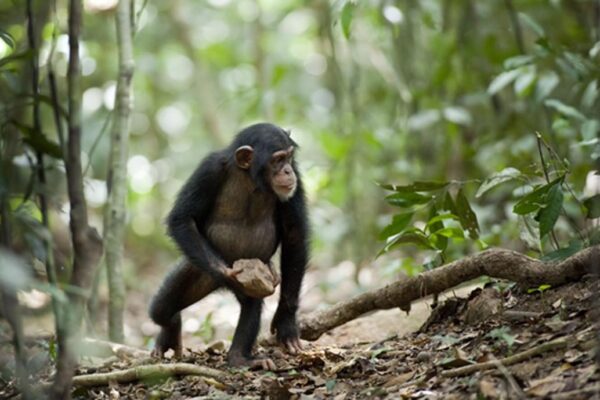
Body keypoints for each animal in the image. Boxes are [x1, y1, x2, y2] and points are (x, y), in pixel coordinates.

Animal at [149, 122, 310, 368]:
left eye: (289, 158)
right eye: (277, 160)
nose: (287, 171)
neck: (250, 178)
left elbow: (294, 235)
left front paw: (286, 322)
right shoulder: (209, 169)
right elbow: (183, 218)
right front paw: (229, 274)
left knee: (251, 306)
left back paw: (238, 357)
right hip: (198, 267)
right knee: (161, 310)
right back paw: (172, 328)